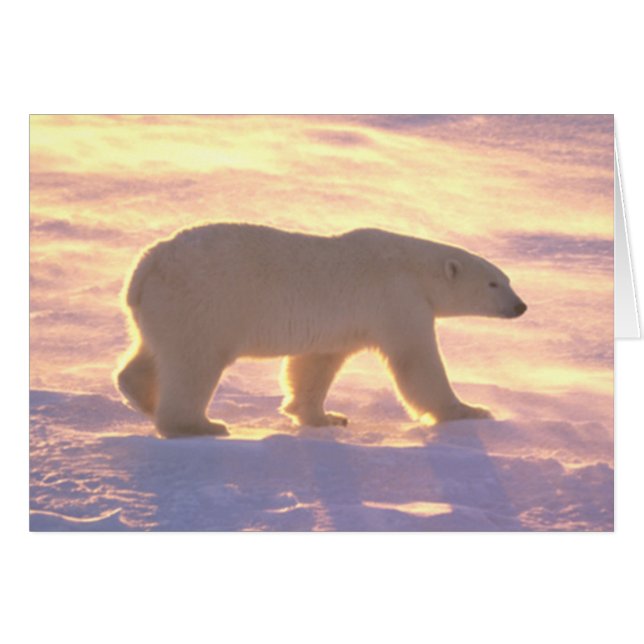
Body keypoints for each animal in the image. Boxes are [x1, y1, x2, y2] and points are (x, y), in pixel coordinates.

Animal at [116, 223, 527, 438]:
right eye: (493, 283)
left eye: (508, 279)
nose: (520, 307)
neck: (412, 267)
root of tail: (143, 269)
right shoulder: (397, 298)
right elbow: (417, 360)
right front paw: (471, 411)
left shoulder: (343, 324)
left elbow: (314, 364)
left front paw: (325, 417)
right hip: (202, 304)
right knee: (194, 363)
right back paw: (201, 424)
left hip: (163, 309)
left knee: (150, 353)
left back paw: (140, 396)